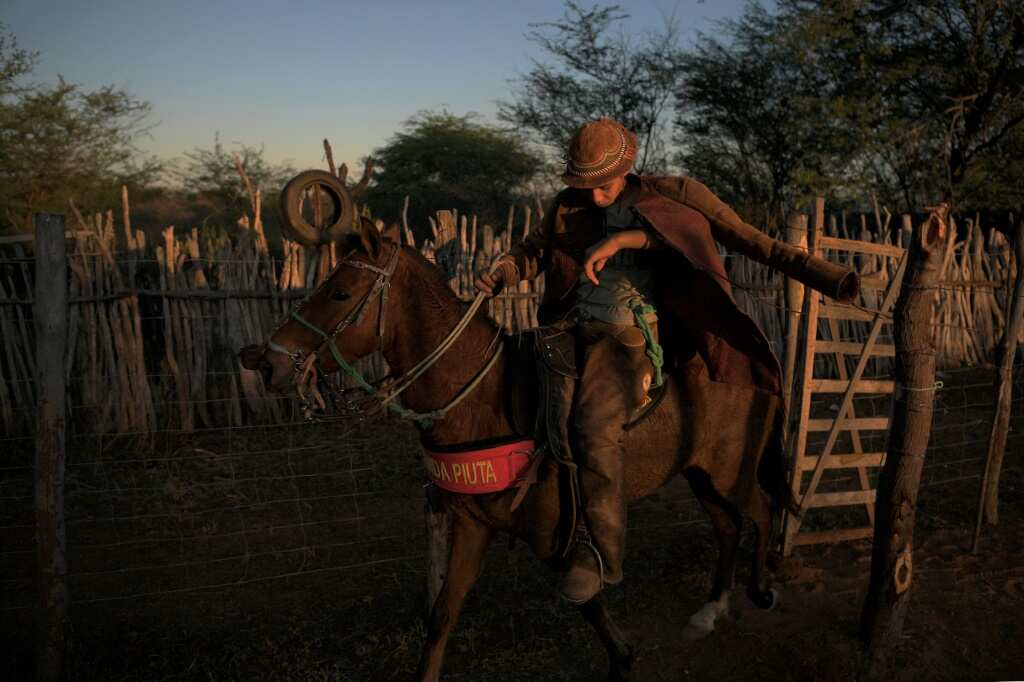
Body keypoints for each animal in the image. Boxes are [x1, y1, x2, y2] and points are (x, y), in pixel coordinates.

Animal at [239, 219, 790, 679]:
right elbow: (443, 614)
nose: (266, 362)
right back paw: (711, 610)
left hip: (732, 471)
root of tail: (753, 357)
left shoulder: (550, 533)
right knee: (728, 527)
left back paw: (762, 589)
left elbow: (585, 599)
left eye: (339, 292)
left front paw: (622, 656)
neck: (484, 397)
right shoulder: (472, 524)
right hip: (700, 472)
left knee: (761, 510)